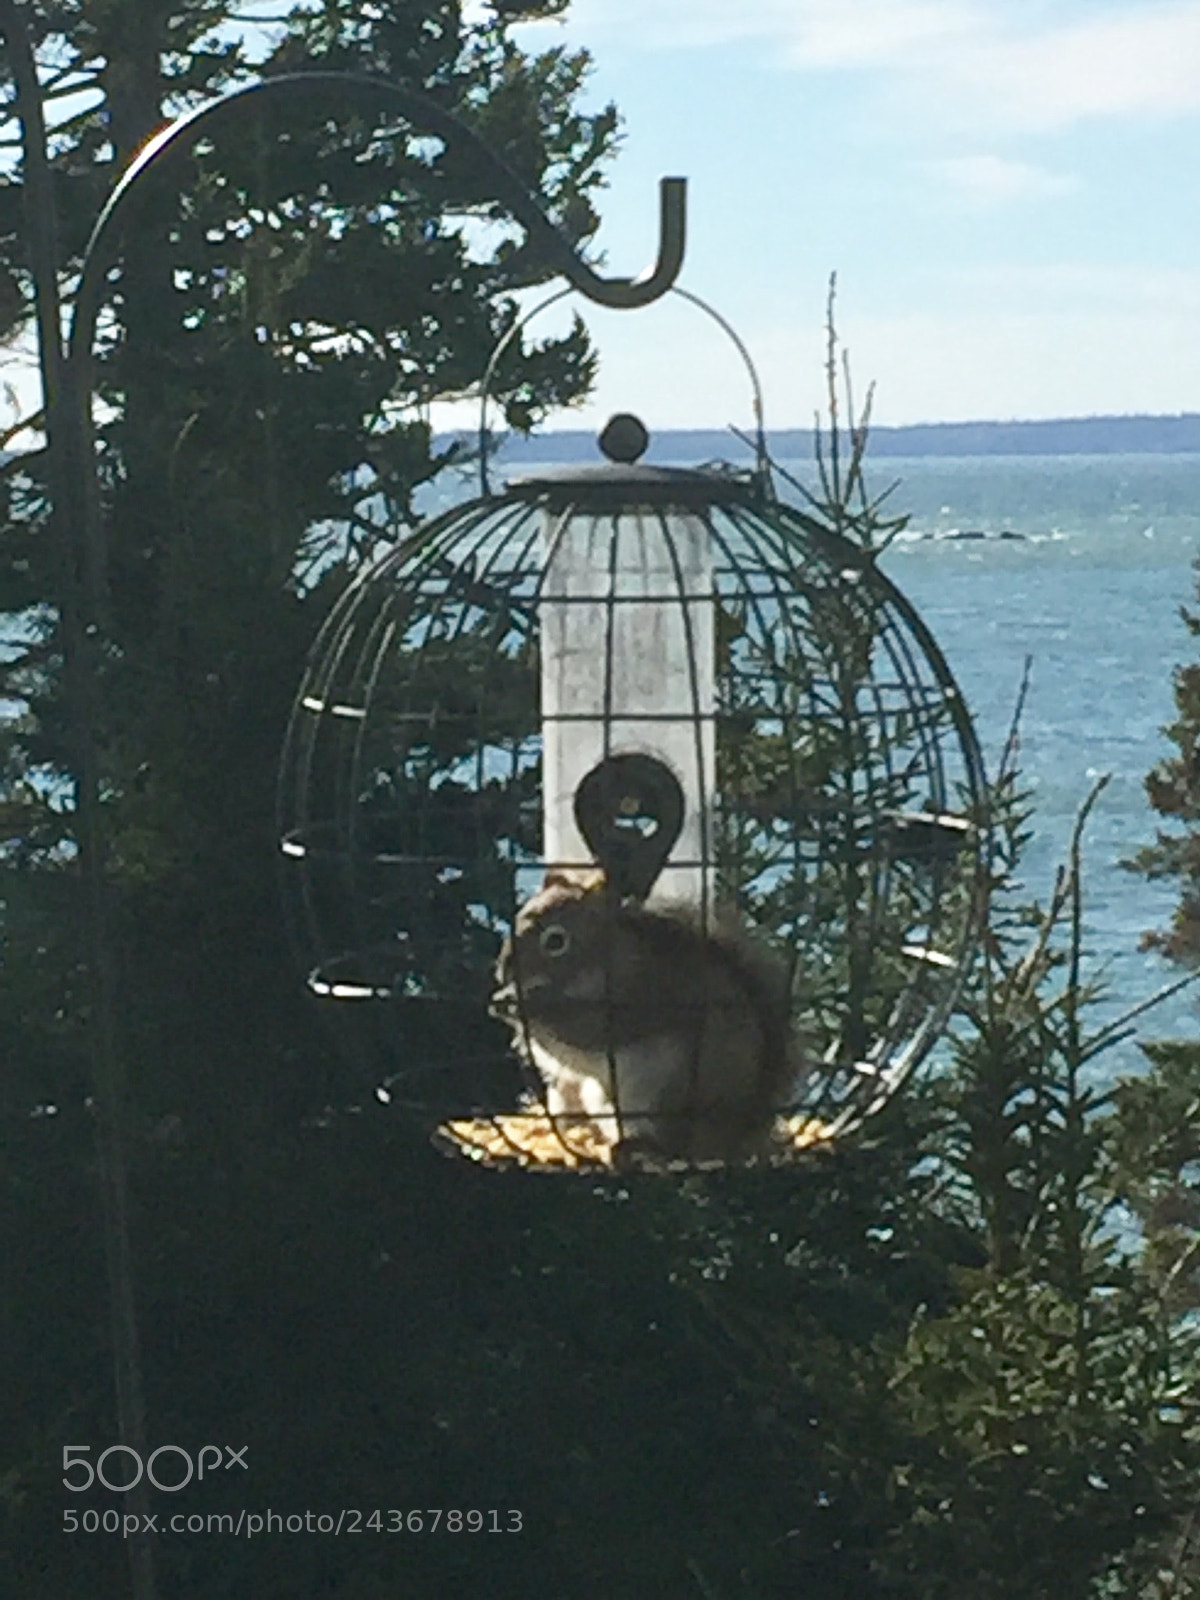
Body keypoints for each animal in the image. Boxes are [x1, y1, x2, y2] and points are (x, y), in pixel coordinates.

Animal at [490, 867, 806, 1165]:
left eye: (556, 941)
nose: (503, 968)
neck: (603, 960)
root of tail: (728, 1137)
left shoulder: (635, 994)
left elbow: (586, 1032)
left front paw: (526, 1004)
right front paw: (502, 1001)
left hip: (658, 1093)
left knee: (667, 1141)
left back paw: (635, 1147)